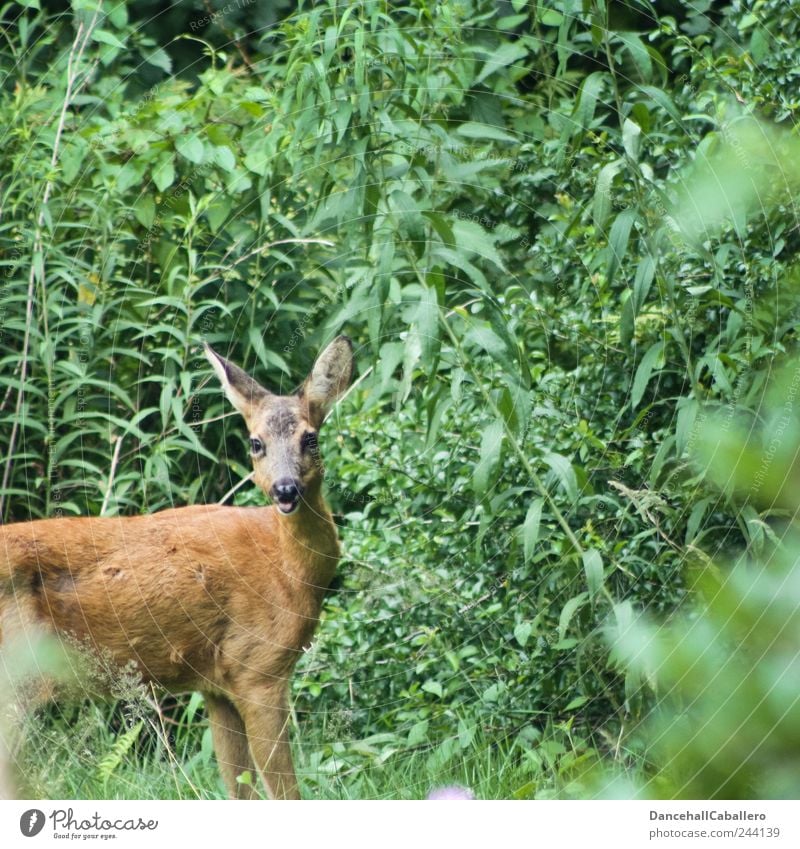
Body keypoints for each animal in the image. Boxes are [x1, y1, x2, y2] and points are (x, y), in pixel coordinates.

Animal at [0, 334, 356, 800]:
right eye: (256, 442)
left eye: (310, 439)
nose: (285, 489)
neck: (287, 571)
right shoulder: (259, 667)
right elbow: (285, 794)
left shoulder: (217, 682)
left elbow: (240, 790)